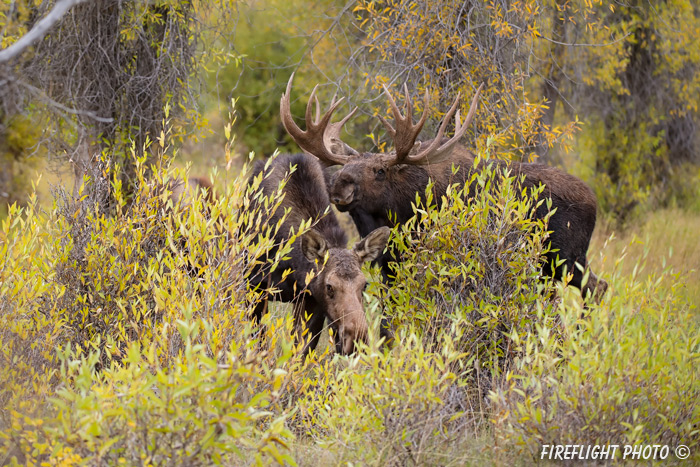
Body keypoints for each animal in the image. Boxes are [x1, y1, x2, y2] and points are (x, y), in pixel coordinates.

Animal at [246, 153, 388, 354]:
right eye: (329, 286)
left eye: (364, 285)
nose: (356, 339)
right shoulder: (254, 287)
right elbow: (259, 343)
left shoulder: (311, 299)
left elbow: (302, 350)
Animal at [278, 76, 608, 304]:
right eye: (345, 167)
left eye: (380, 171)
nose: (339, 186)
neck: (402, 212)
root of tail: (594, 201)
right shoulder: (390, 266)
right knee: (598, 287)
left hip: (565, 258)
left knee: (596, 288)